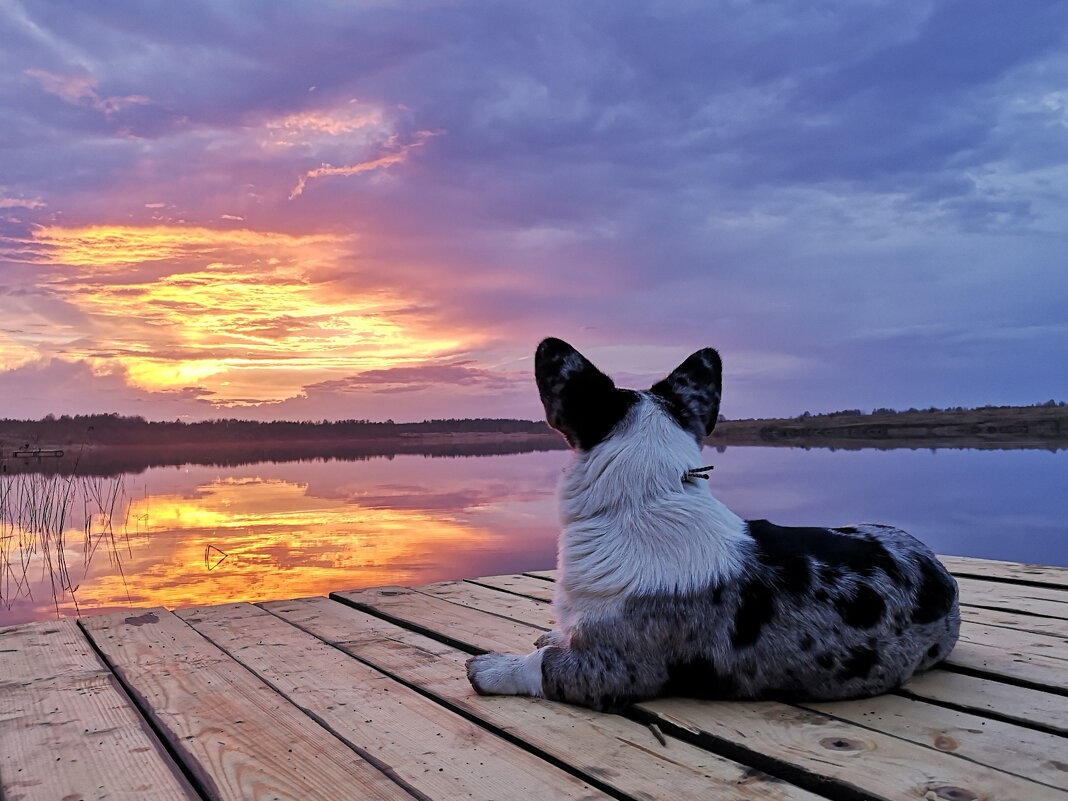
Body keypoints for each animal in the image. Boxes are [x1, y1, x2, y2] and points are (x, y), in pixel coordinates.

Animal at [465, 339, 961, 713]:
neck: (648, 496)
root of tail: (942, 573)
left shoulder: (607, 669)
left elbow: (541, 664)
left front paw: (493, 668)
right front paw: (554, 632)